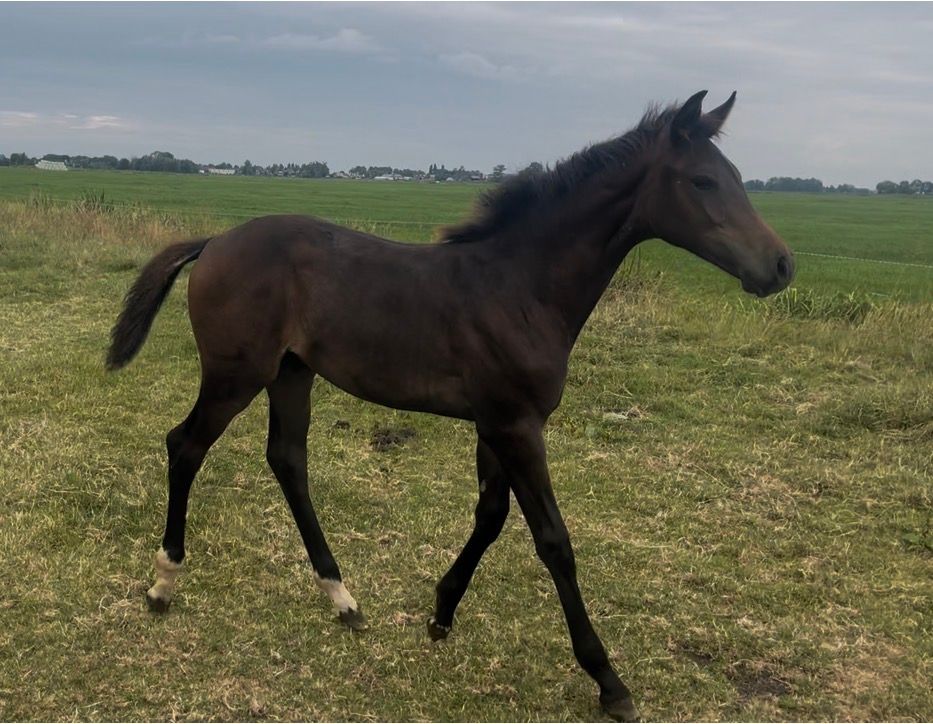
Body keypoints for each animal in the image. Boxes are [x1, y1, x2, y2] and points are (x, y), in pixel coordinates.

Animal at [107, 91, 794, 721]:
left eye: (738, 177)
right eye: (702, 180)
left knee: (287, 460)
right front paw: (608, 679)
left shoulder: (495, 424)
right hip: (235, 375)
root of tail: (217, 240)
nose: (781, 265)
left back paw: (342, 598)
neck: (520, 288)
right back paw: (163, 584)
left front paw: (440, 613)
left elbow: (490, 517)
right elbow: (553, 540)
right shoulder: (518, 426)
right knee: (186, 445)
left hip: (291, 374)